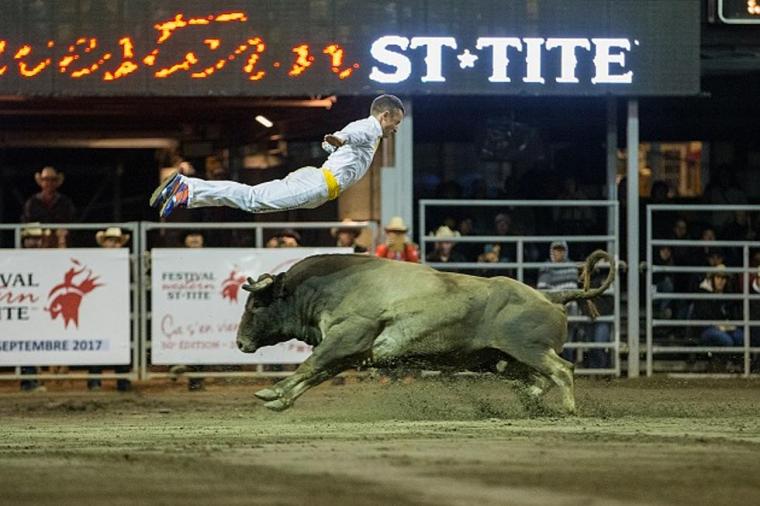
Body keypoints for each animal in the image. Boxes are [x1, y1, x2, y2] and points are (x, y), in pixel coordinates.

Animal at [239, 250, 616, 416]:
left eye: (256, 304)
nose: (241, 342)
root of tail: (552, 297)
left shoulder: (345, 339)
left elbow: (310, 366)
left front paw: (272, 392)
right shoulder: (350, 353)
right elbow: (315, 375)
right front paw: (281, 400)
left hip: (529, 349)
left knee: (562, 370)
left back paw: (568, 409)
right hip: (503, 360)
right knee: (538, 380)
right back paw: (533, 402)